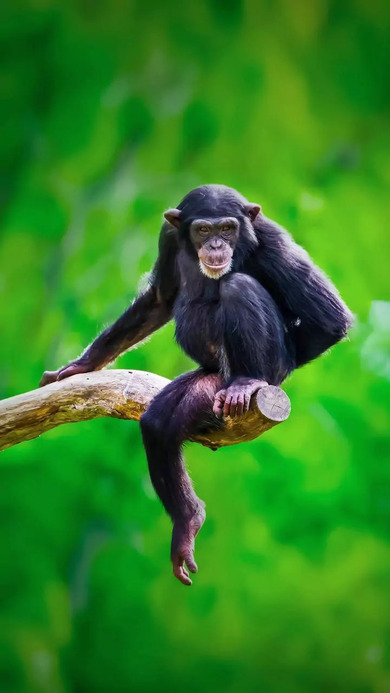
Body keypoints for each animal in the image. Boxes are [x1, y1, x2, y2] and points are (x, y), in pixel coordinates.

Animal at [40, 184, 354, 584]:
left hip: (241, 376)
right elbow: (159, 299)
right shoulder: (167, 236)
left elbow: (329, 320)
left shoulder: (273, 240)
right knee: (158, 425)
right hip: (204, 378)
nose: (217, 244)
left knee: (239, 288)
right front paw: (81, 365)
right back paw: (188, 520)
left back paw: (246, 382)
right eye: (203, 230)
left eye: (228, 228)